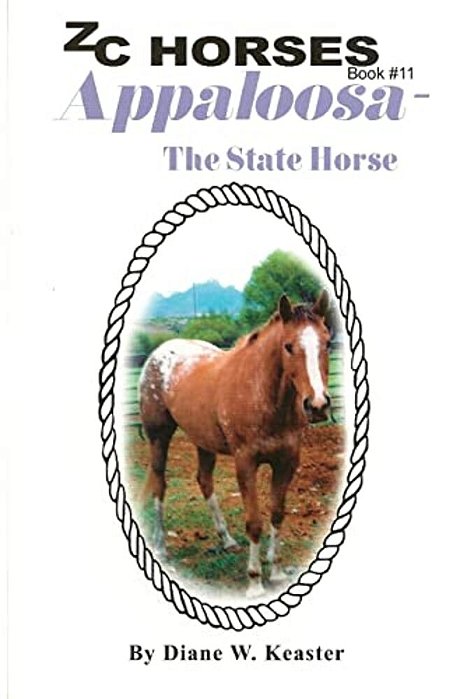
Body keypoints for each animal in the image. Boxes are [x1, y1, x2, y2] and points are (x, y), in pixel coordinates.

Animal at [138, 291, 331, 598]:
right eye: (288, 346)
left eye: (327, 342)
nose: (318, 405)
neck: (260, 394)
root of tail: (158, 354)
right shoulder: (246, 463)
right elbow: (254, 522)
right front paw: (254, 582)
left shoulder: (286, 463)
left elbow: (277, 515)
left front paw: (276, 571)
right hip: (159, 436)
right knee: (160, 483)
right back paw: (160, 546)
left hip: (203, 441)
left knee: (204, 481)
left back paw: (226, 539)